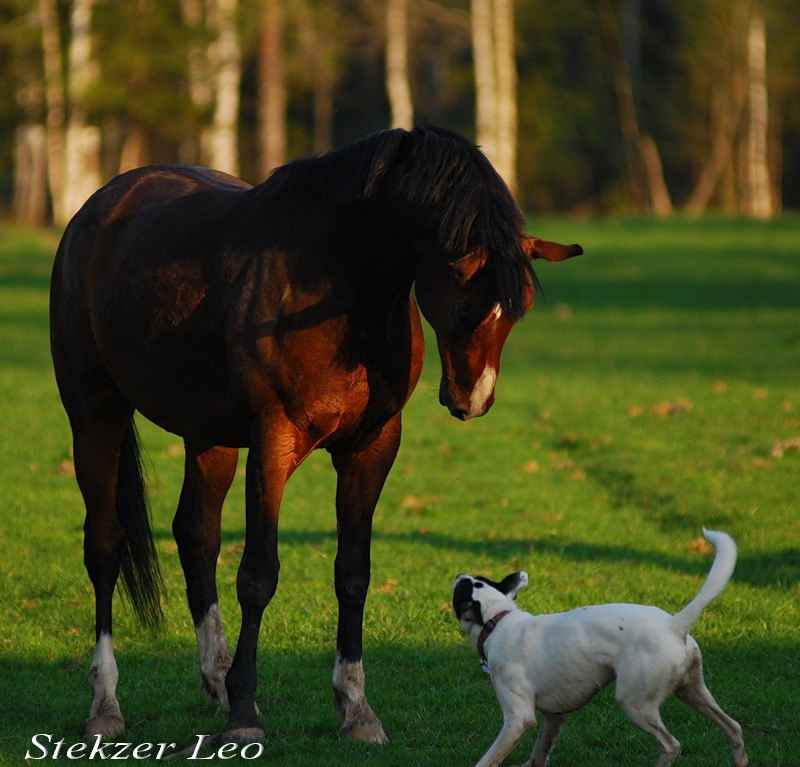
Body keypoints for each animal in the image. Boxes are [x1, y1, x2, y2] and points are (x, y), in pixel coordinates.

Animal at [51, 126, 580, 744]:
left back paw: (216, 677)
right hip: (94, 412)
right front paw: (245, 715)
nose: (473, 400)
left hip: (210, 435)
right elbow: (258, 575)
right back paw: (106, 702)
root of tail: (100, 206)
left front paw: (356, 709)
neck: (337, 281)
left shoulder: (371, 447)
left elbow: (353, 573)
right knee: (105, 548)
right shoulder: (273, 440)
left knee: (196, 536)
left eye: (517, 311)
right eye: (471, 302)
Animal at [454, 528, 748, 767]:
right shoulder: (555, 716)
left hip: (635, 702)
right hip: (692, 691)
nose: (458, 572)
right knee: (733, 727)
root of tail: (674, 624)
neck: (498, 620)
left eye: (460, 588)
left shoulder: (518, 719)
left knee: (671, 745)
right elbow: (539, 754)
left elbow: (488, 759)